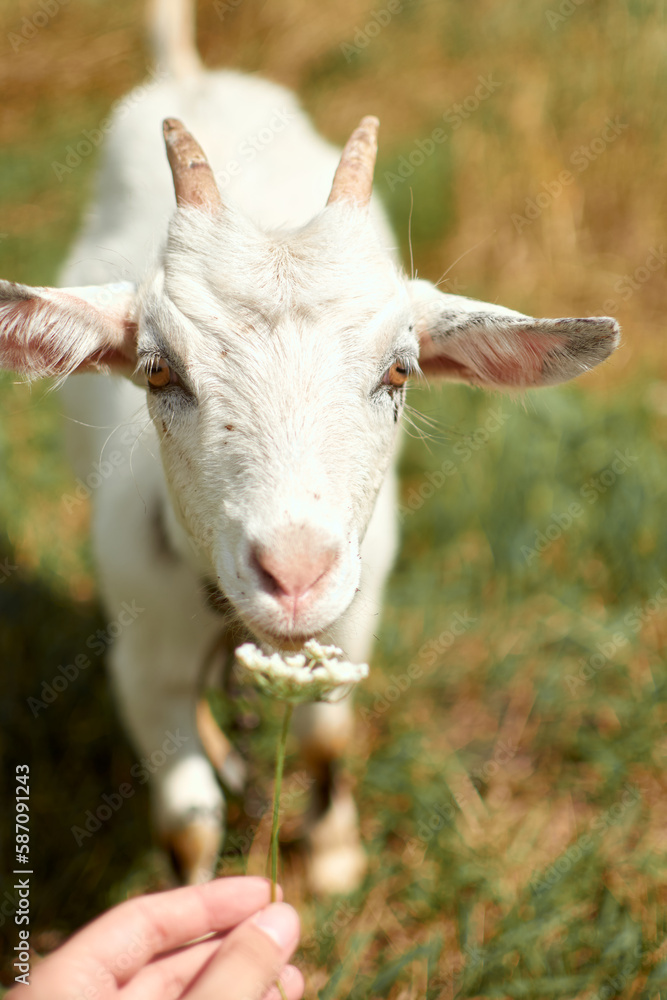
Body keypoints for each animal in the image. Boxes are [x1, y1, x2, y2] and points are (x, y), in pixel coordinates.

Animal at [0, 0, 620, 891]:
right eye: (157, 370)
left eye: (399, 369)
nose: (293, 576)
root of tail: (192, 72)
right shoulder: (142, 656)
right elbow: (188, 819)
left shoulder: (354, 617)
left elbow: (327, 735)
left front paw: (331, 857)